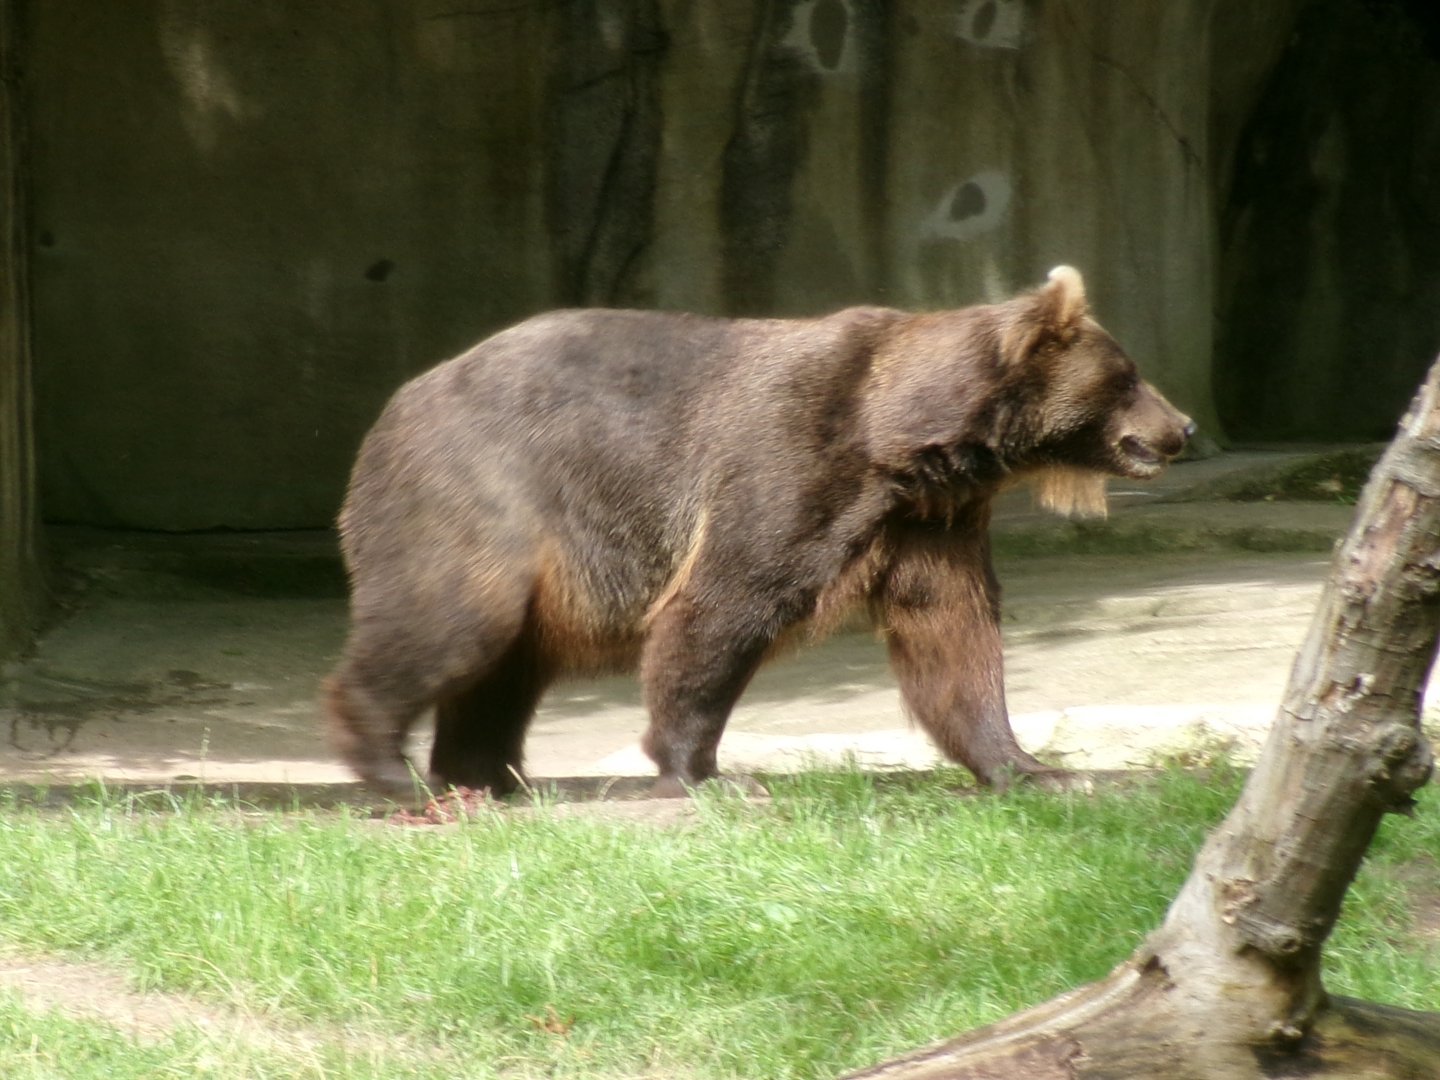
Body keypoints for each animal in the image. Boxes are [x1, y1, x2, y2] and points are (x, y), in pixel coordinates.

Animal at [325, 266, 1193, 797]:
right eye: (1127, 376)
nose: (1182, 426)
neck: (907, 442)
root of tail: (397, 402)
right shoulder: (788, 462)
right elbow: (723, 606)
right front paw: (705, 771)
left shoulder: (929, 521)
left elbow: (952, 636)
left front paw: (1035, 767)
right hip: (483, 489)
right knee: (453, 621)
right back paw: (390, 764)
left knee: (501, 666)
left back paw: (486, 773)